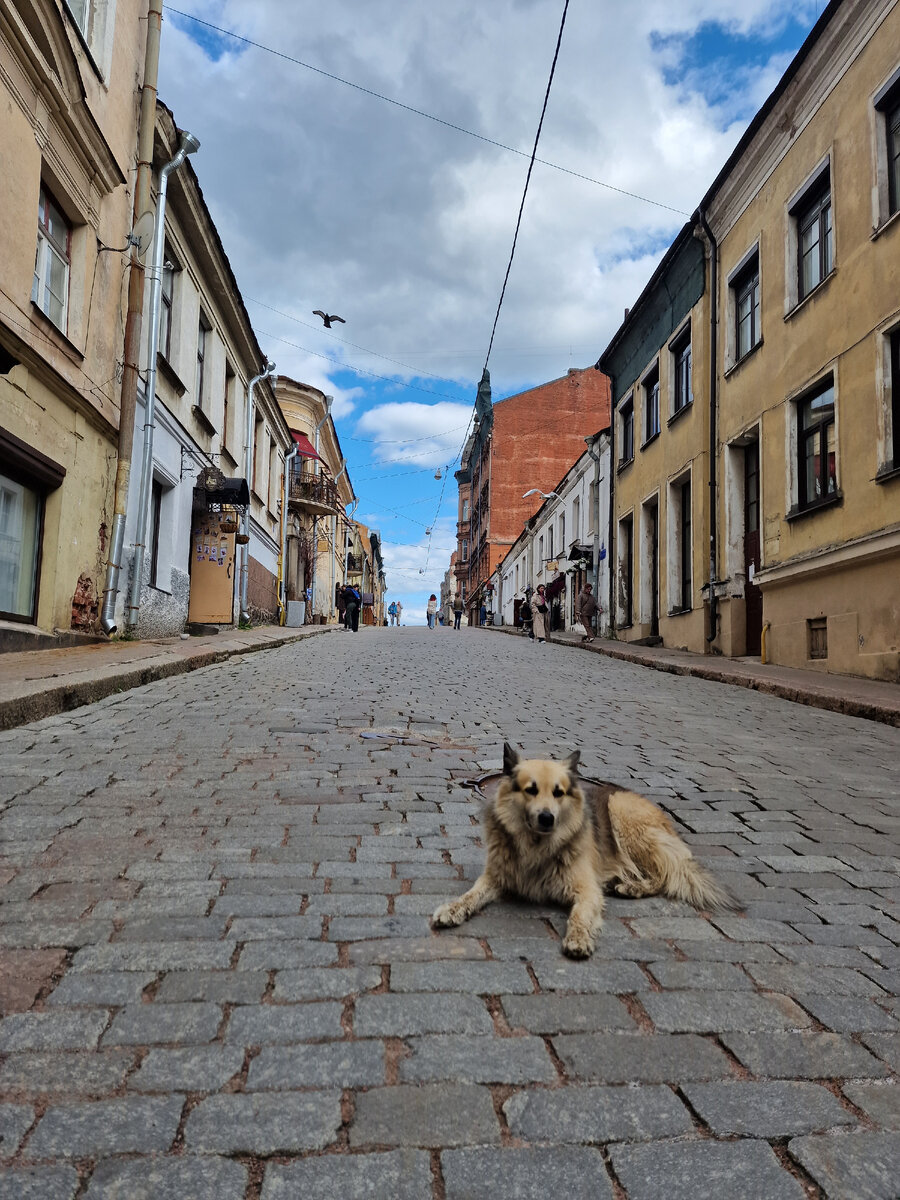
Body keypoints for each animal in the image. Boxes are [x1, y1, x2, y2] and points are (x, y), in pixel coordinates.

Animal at [432, 744, 739, 960]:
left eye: (558, 792)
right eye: (531, 790)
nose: (547, 818)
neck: (536, 846)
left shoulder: (587, 890)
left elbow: (579, 916)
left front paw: (578, 939)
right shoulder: (495, 878)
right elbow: (470, 895)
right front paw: (453, 909)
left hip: (622, 815)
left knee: (663, 875)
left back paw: (631, 887)